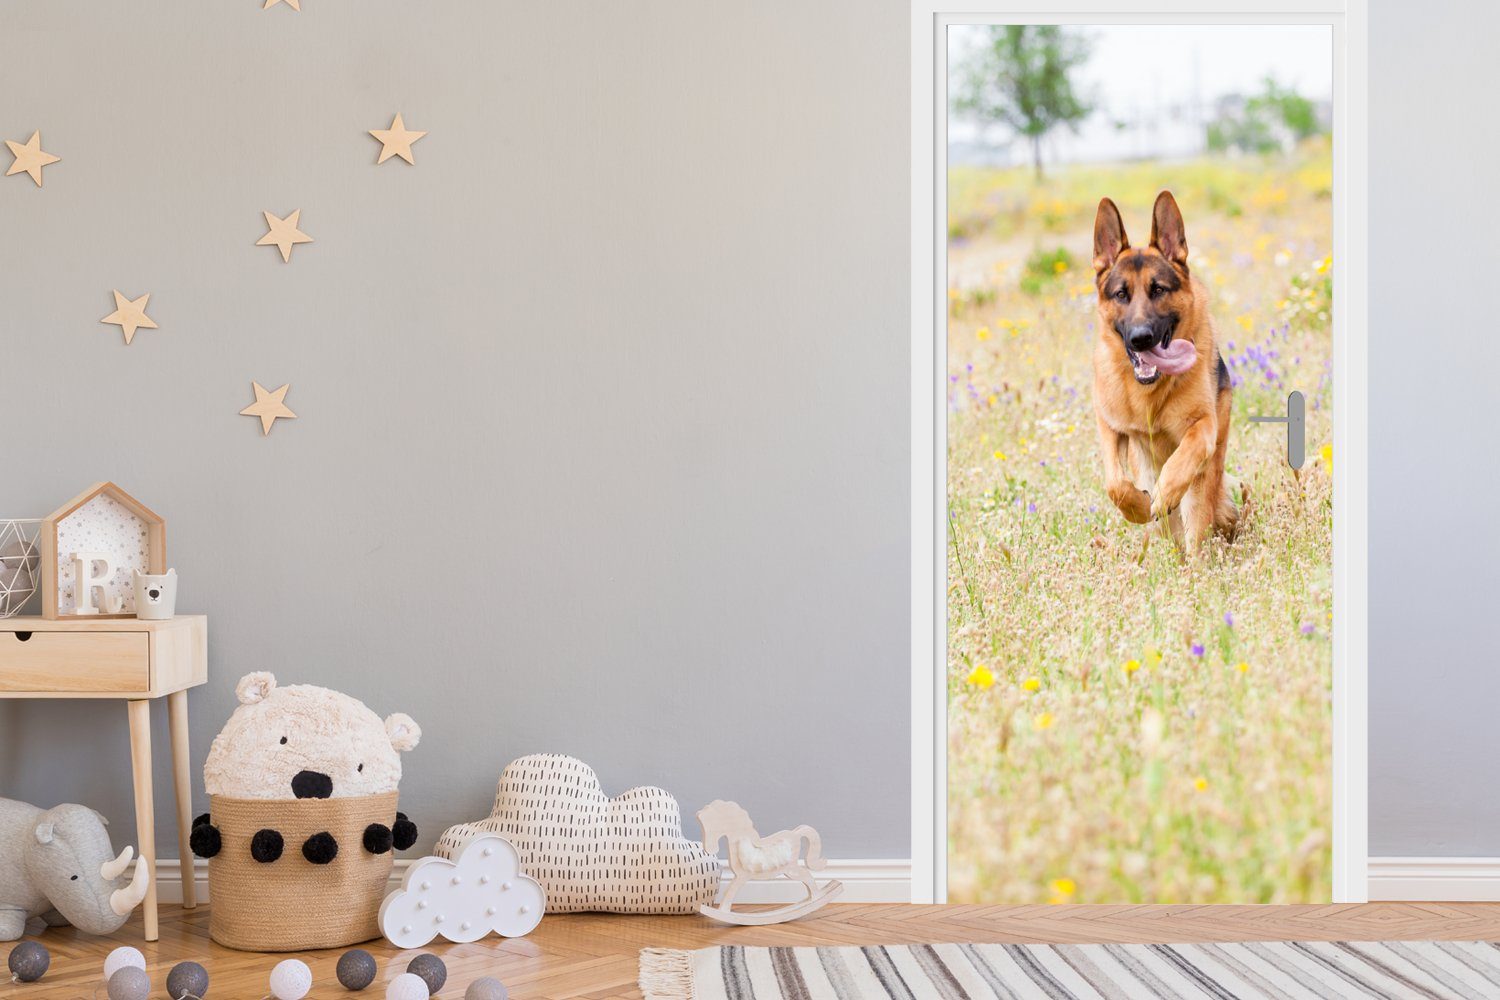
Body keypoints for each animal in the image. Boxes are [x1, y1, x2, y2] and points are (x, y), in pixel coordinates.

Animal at [1092, 190, 1242, 551]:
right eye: (1121, 294)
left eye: (1158, 289)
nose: (1141, 337)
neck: (1148, 392)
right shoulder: (1109, 425)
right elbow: (1115, 484)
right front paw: (1138, 506)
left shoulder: (1203, 427)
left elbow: (1180, 462)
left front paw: (1163, 494)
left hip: (1207, 475)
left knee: (1196, 527)